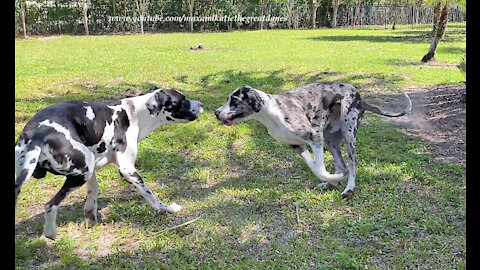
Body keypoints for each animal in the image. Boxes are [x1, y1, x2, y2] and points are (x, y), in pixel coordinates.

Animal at [15, 86, 202, 238]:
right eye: (182, 99)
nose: (201, 104)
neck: (135, 113)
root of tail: (38, 134)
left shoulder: (92, 170)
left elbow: (93, 195)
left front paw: (91, 218)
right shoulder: (127, 169)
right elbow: (152, 197)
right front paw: (168, 208)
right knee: (50, 205)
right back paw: (50, 232)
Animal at [216, 83, 410, 198]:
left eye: (234, 100)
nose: (216, 112)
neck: (272, 112)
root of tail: (361, 98)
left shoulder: (315, 137)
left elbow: (322, 169)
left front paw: (335, 178)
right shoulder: (298, 145)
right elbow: (315, 167)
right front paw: (333, 179)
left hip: (348, 132)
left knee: (353, 161)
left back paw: (349, 188)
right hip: (332, 140)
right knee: (341, 164)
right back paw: (334, 182)